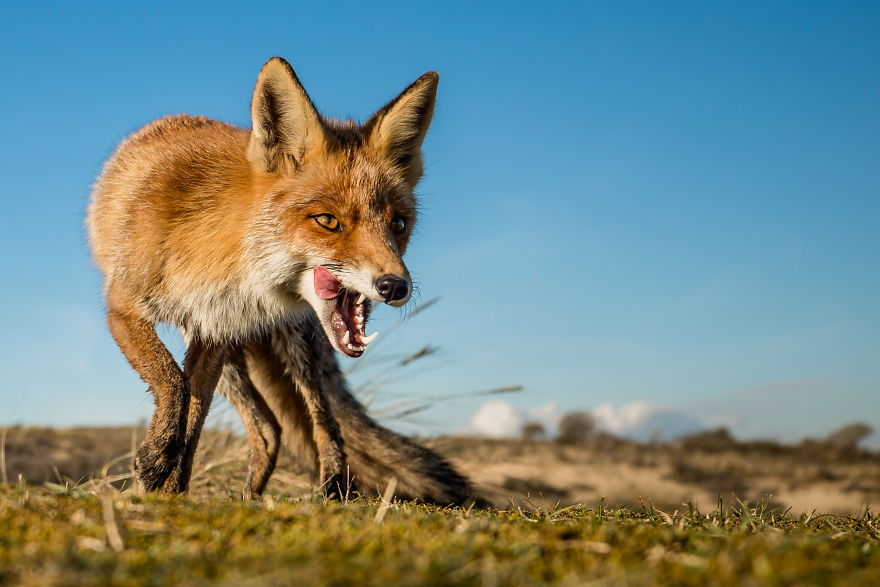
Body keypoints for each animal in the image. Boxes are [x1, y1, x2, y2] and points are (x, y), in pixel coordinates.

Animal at [86, 57, 470, 504]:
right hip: (232, 360)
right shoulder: (127, 308)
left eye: (398, 225)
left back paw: (330, 490)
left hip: (294, 348)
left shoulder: (212, 334)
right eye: (328, 221)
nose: (395, 287)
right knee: (270, 429)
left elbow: (191, 421)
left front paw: (166, 478)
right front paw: (162, 469)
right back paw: (253, 496)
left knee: (315, 424)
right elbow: (174, 387)